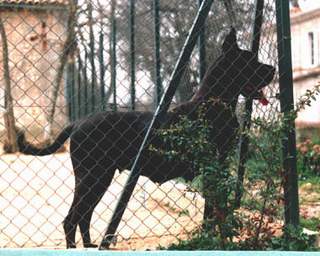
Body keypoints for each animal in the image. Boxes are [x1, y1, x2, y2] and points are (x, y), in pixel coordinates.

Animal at [17, 29, 274, 249]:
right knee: (71, 219)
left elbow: (212, 212)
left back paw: (89, 245)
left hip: (98, 178)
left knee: (83, 216)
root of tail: (79, 122)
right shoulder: (212, 168)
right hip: (92, 176)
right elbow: (215, 211)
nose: (272, 69)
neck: (214, 101)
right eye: (251, 61)